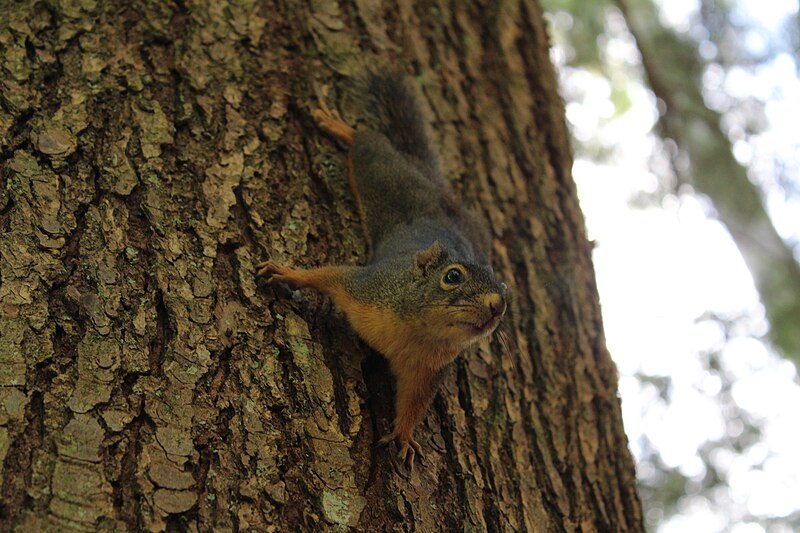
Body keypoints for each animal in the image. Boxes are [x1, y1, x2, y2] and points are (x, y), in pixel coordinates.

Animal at [256, 69, 506, 470]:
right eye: (452, 276)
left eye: (505, 293)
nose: (497, 307)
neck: (417, 331)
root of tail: (438, 187)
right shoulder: (368, 286)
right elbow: (328, 275)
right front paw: (289, 273)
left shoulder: (427, 372)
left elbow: (413, 404)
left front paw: (403, 436)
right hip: (385, 175)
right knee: (370, 145)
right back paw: (340, 127)